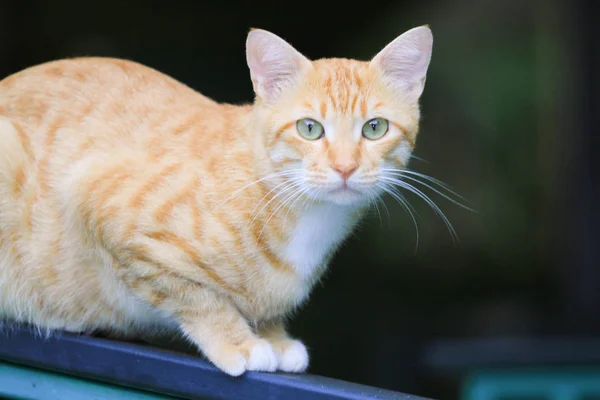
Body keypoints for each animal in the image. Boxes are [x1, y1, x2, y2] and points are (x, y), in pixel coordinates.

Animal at [0, 25, 434, 376]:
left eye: (374, 128)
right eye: (310, 128)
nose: (345, 167)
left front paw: (274, 336)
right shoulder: (97, 200)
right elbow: (195, 295)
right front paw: (237, 341)